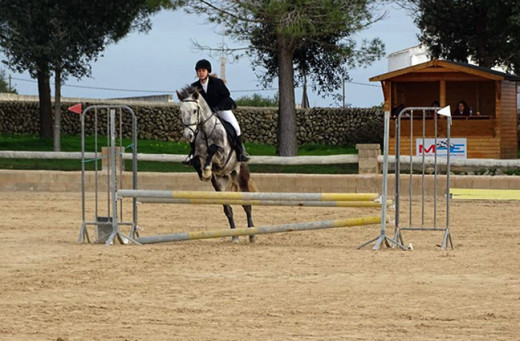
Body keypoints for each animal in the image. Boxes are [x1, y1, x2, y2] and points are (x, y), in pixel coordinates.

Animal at [176, 86, 256, 243]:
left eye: (194, 111)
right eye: (181, 111)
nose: (188, 136)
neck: (206, 130)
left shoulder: (223, 155)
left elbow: (212, 149)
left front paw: (207, 169)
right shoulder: (200, 155)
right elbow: (197, 160)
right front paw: (205, 173)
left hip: (241, 176)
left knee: (247, 206)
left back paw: (251, 234)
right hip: (220, 182)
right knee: (228, 210)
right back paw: (234, 236)